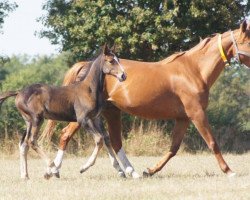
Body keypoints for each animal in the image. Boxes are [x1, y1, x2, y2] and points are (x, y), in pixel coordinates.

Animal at [0, 45, 127, 180]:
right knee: (32, 141)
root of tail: (19, 92)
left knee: (24, 143)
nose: (123, 75)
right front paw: (83, 167)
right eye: (111, 61)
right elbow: (99, 139)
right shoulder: (84, 120)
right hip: (36, 119)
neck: (88, 89)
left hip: (28, 121)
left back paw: (25, 176)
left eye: (118, 59)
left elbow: (106, 138)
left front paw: (120, 170)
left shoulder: (95, 119)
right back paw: (53, 169)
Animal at [42, 20, 249, 178]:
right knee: (67, 135)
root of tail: (87, 65)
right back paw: (54, 170)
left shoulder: (183, 118)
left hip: (108, 112)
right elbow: (212, 142)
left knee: (112, 140)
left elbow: (173, 148)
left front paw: (149, 170)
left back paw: (127, 171)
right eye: (248, 42)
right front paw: (229, 171)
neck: (193, 70)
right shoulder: (196, 113)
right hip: (88, 115)